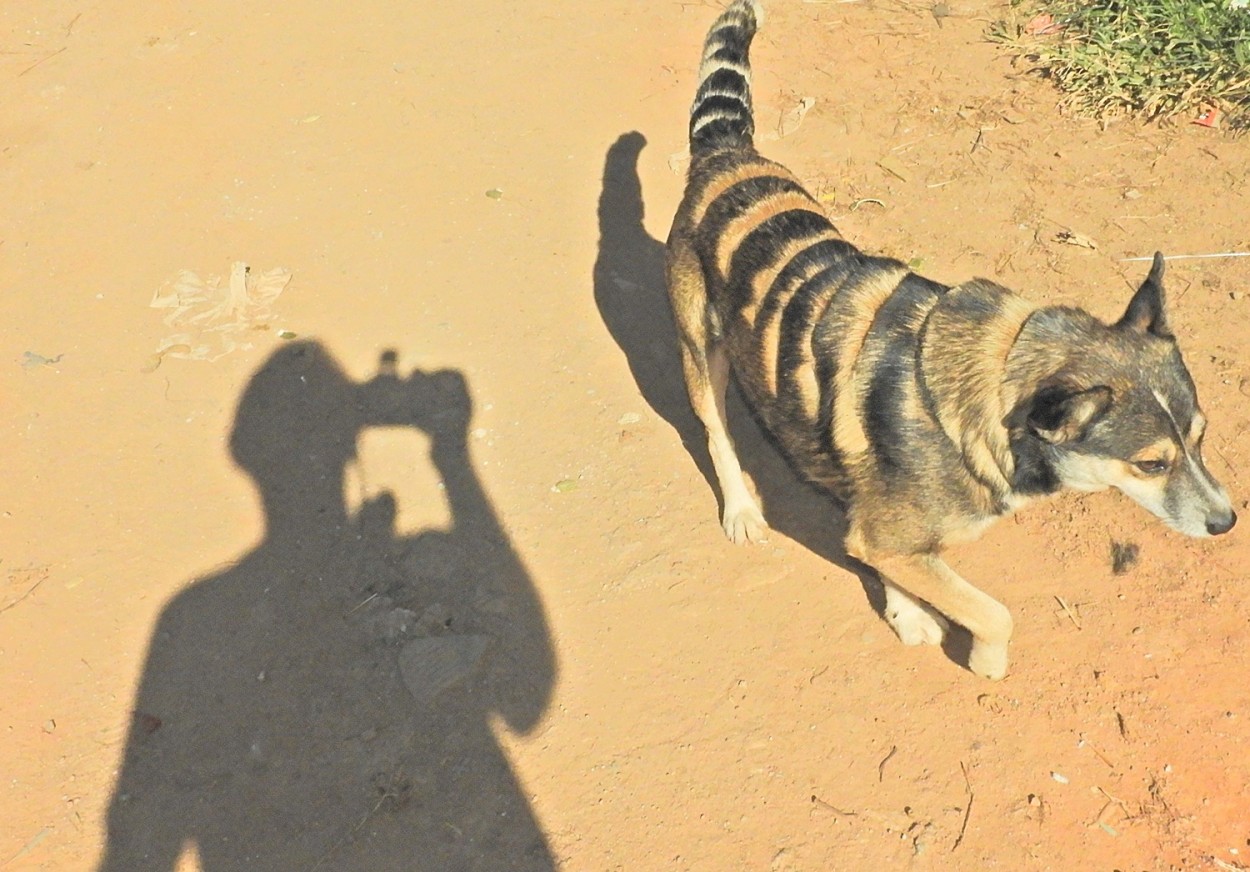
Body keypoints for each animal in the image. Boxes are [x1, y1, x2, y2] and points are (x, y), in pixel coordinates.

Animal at [670, 0, 1235, 679]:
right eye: (1151, 463)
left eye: (1201, 438)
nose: (1228, 521)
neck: (997, 389)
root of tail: (728, 151)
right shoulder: (890, 535)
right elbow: (993, 611)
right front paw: (987, 661)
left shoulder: (888, 529)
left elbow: (901, 560)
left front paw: (908, 609)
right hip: (701, 353)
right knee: (716, 431)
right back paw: (742, 509)